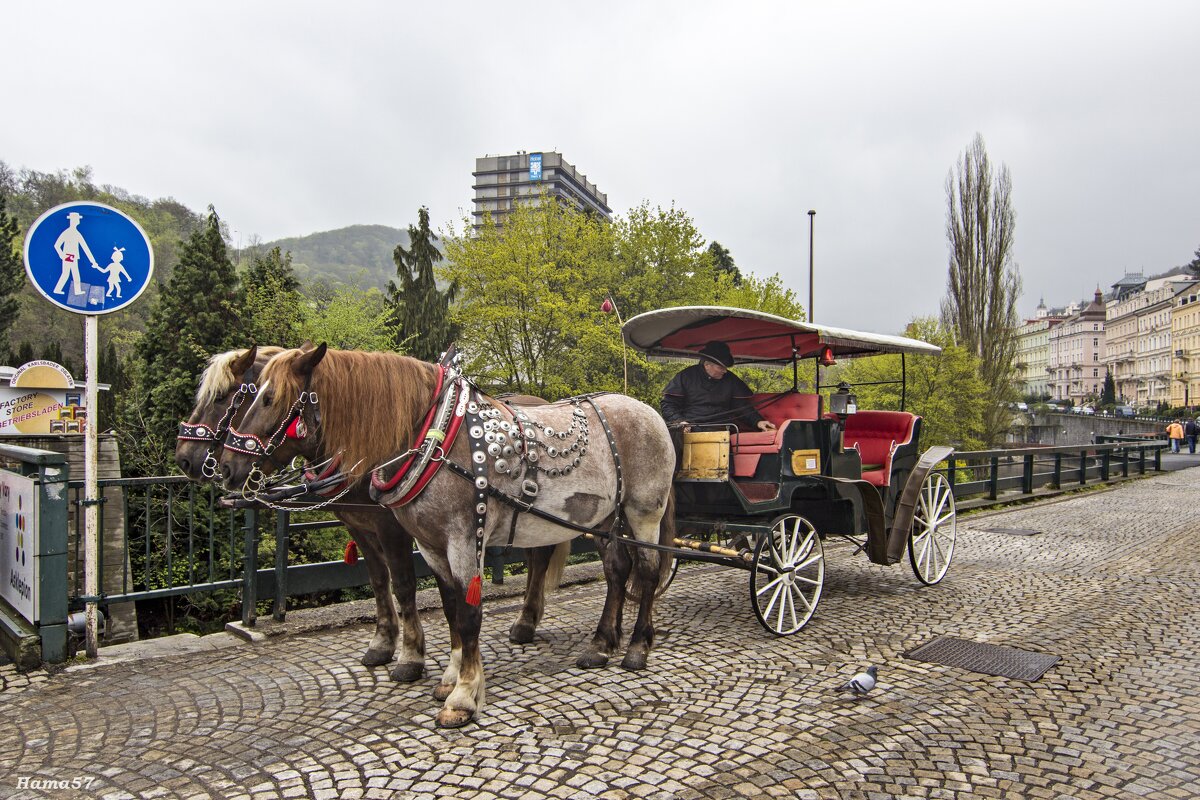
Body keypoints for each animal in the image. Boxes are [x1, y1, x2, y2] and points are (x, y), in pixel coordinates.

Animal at [178, 345, 571, 681]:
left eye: (224, 397)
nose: (187, 460)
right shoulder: (359, 526)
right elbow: (379, 581)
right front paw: (383, 643)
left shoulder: (391, 528)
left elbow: (404, 584)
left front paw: (411, 657)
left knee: (539, 559)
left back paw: (525, 621)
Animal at [220, 347, 676, 729]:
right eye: (245, 396)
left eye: (267, 398)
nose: (225, 466)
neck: (432, 437)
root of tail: (649, 412)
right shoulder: (431, 546)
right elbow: (450, 608)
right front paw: (451, 677)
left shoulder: (464, 539)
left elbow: (469, 614)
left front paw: (464, 697)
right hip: (603, 517)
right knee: (617, 571)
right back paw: (600, 645)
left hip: (643, 512)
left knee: (648, 573)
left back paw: (637, 648)